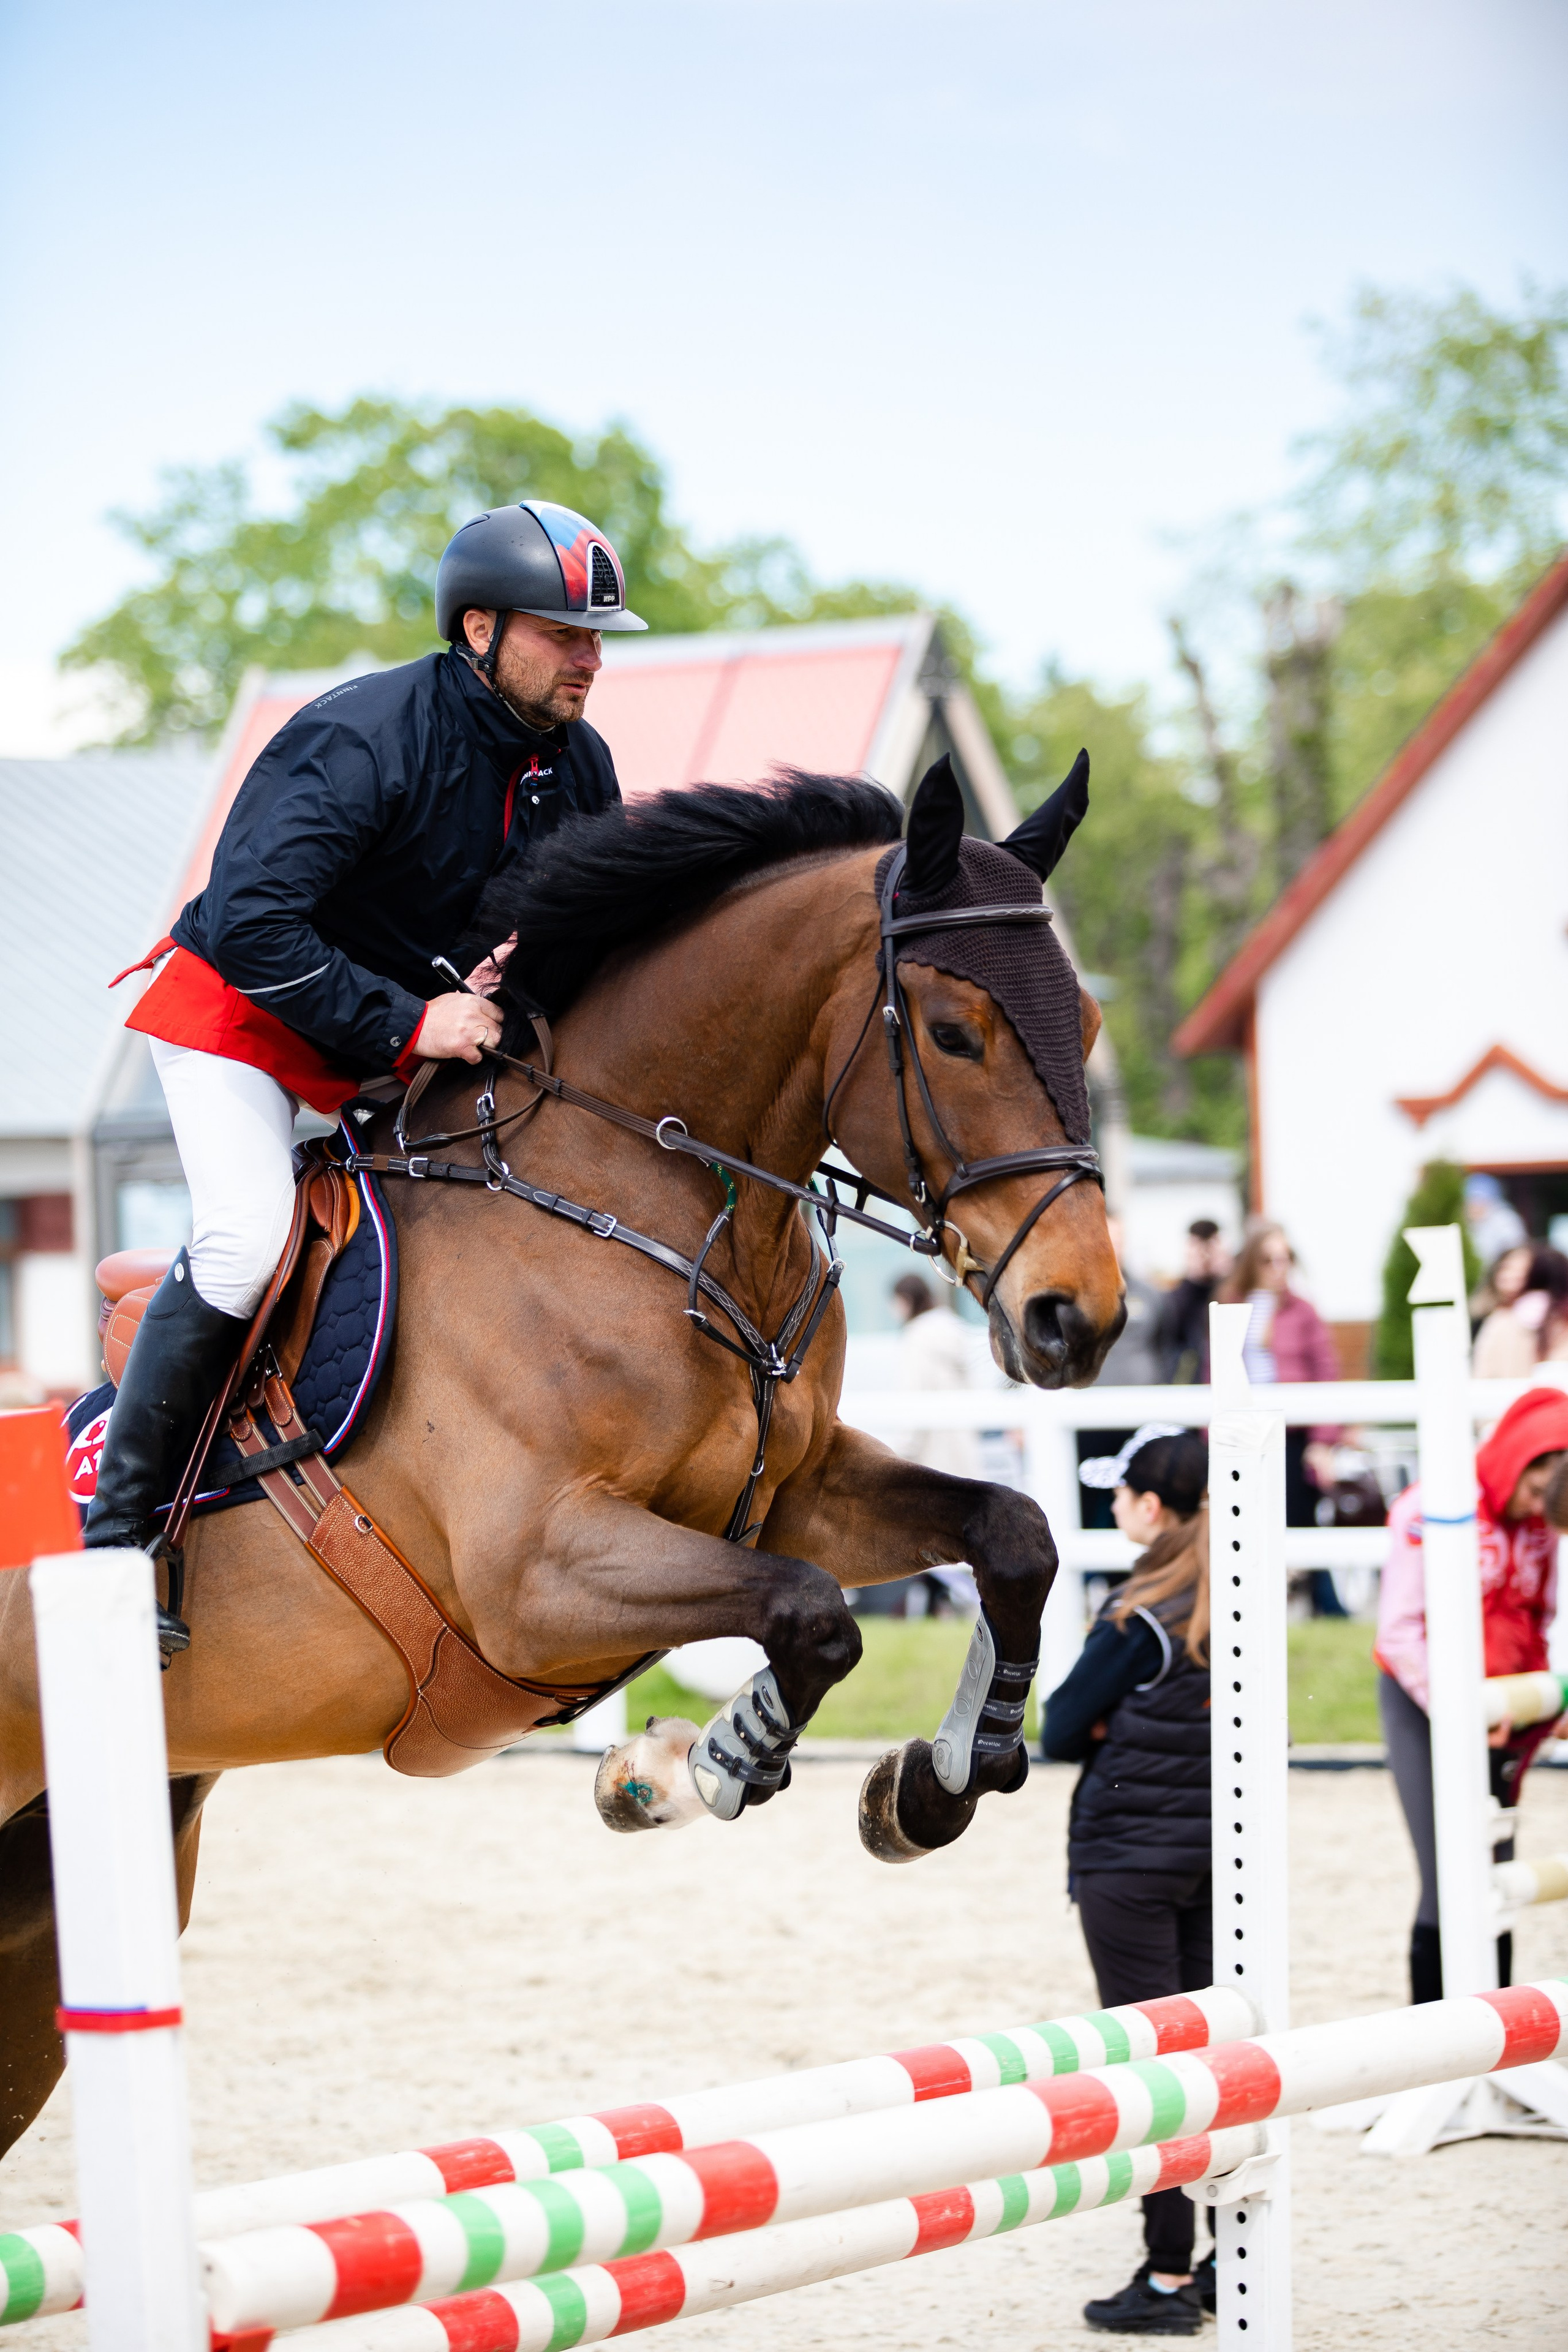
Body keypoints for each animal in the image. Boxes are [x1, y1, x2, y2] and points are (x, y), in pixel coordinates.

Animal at [0, 754, 1123, 2156]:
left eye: (1086, 1025)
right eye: (954, 1033)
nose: (1081, 1318)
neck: (651, 1202)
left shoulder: (792, 1494)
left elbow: (1010, 1537)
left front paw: (936, 1780)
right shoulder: (535, 1577)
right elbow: (812, 1619)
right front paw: (703, 1761)